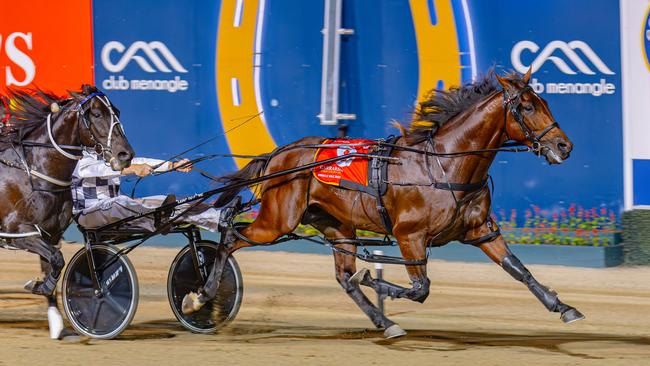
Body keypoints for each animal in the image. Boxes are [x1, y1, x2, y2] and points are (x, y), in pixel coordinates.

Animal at [0, 86, 134, 338]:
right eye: (97, 114)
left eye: (117, 111)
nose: (125, 154)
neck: (35, 172)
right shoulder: (18, 231)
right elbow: (57, 259)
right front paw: (39, 286)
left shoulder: (50, 234)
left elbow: (52, 264)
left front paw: (55, 318)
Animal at [182, 68, 584, 338]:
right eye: (527, 107)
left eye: (545, 101)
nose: (565, 146)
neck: (444, 163)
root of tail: (279, 153)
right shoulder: (410, 235)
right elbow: (421, 288)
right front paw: (377, 282)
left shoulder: (481, 230)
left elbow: (518, 269)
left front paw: (563, 307)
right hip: (278, 220)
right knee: (231, 237)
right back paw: (202, 297)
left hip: (337, 226)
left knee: (343, 276)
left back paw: (385, 322)